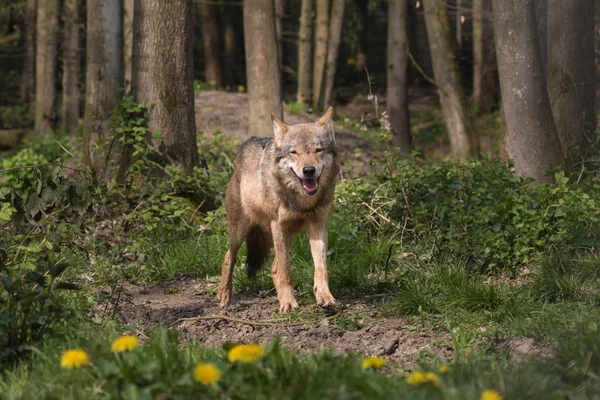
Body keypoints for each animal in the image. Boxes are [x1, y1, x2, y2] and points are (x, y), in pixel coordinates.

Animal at [217, 107, 340, 312]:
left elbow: (321, 269)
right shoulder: (278, 226)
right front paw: (288, 303)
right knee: (229, 257)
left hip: (285, 236)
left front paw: (324, 296)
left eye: (318, 150)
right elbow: (286, 271)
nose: (309, 170)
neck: (302, 201)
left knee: (273, 268)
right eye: (294, 152)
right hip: (241, 231)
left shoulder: (319, 227)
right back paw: (224, 296)